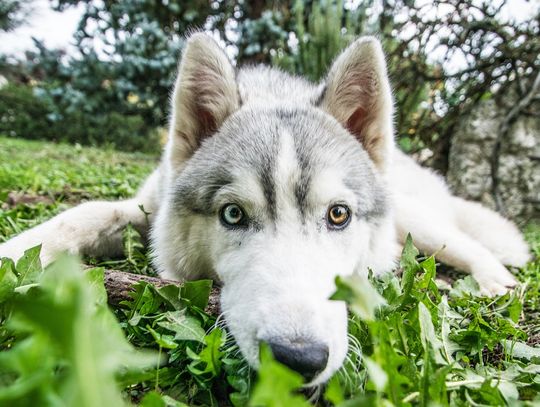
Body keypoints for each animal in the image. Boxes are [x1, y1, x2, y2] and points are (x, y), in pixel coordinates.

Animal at [0, 33, 532, 384]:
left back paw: (497, 282)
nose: (298, 359)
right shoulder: (145, 206)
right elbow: (86, 213)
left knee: (467, 244)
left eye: (338, 215)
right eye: (233, 215)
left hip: (419, 225)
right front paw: (17, 250)